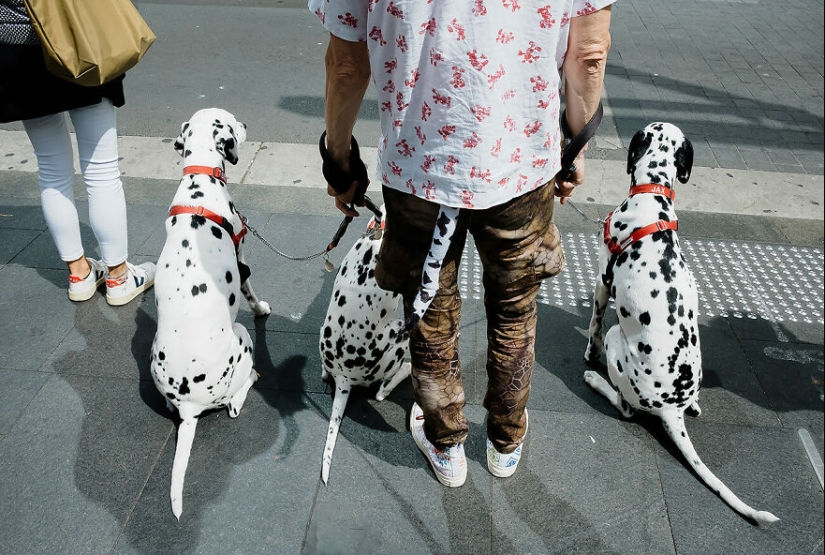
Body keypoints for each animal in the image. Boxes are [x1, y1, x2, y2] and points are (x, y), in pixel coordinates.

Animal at [150, 108, 272, 520]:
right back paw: (253, 377)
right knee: (235, 402)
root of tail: (189, 407)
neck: (199, 181)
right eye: (233, 121)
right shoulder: (242, 257)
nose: (247, 124)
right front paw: (262, 307)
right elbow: (250, 292)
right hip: (242, 338)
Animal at [580, 121, 780, 524]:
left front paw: (587, 354)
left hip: (617, 341)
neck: (652, 194)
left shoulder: (602, 280)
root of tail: (672, 408)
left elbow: (592, 324)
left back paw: (595, 379)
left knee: (624, 406)